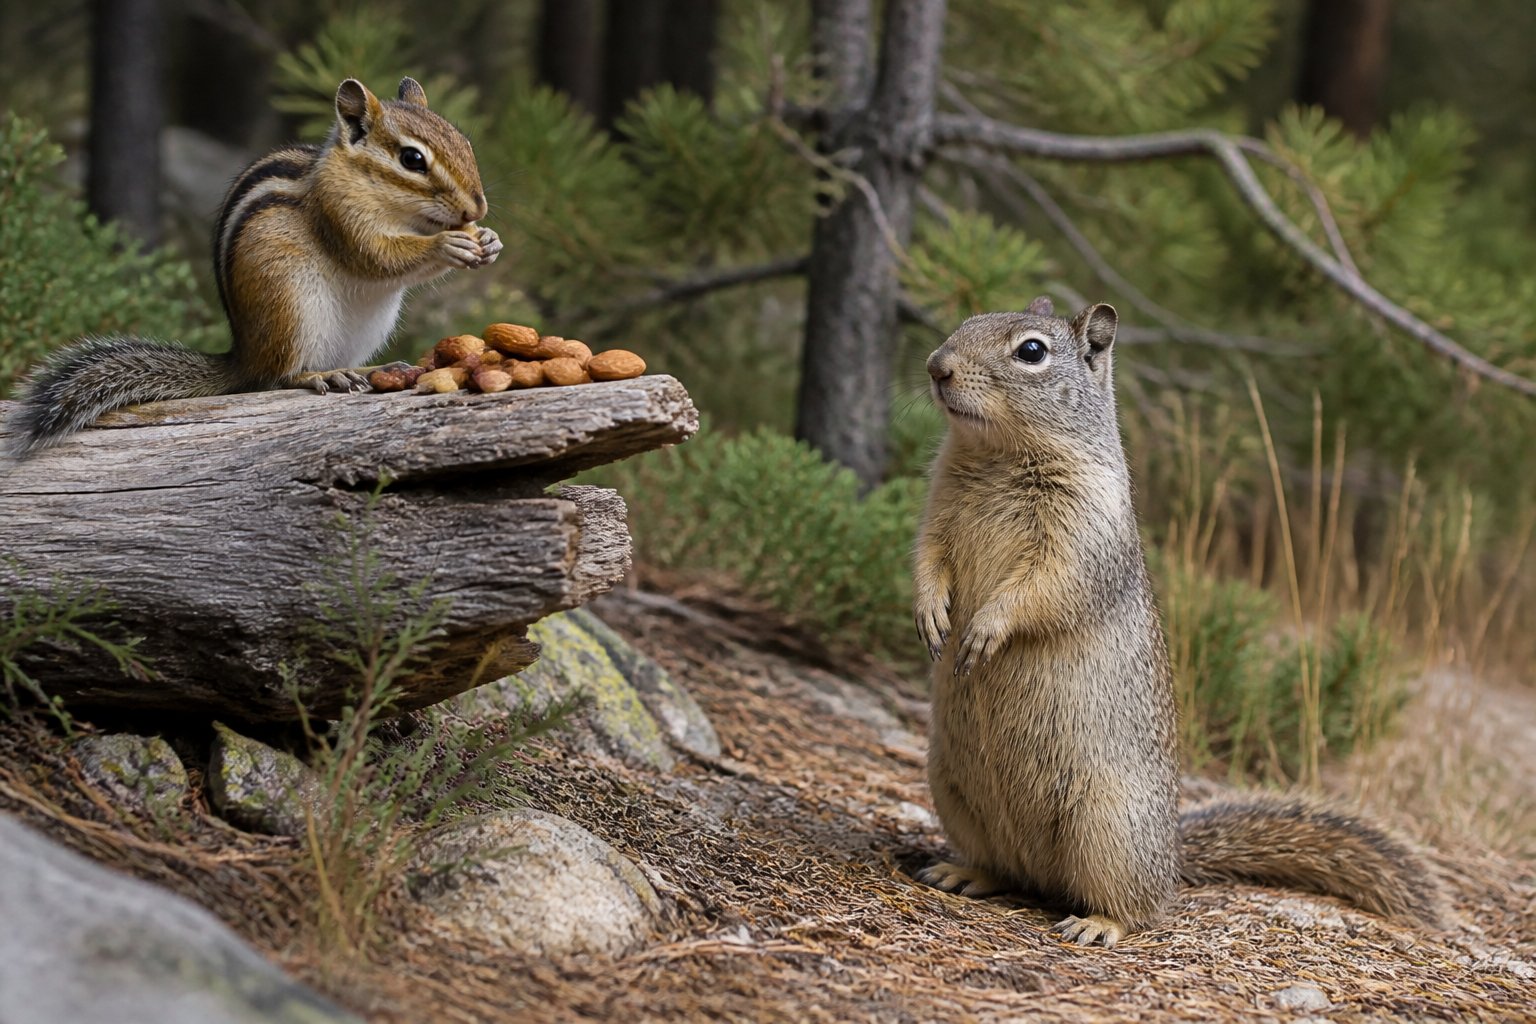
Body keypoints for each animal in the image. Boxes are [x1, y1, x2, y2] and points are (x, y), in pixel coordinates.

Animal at [6, 76, 500, 454]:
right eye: (412, 159)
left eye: (465, 142)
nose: (477, 207)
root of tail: (243, 356)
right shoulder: (338, 215)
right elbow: (376, 256)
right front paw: (447, 244)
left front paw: (490, 241)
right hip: (291, 303)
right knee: (277, 377)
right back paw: (320, 374)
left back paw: (366, 371)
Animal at [912, 296, 1440, 948]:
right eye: (968, 321)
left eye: (1031, 350)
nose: (936, 366)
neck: (997, 456)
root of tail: (1173, 856)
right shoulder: (937, 508)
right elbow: (928, 559)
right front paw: (929, 613)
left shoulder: (1083, 537)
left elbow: (1044, 588)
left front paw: (986, 628)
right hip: (950, 789)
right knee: (1003, 867)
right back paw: (964, 872)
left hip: (1109, 828)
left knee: (1143, 906)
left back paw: (1099, 924)